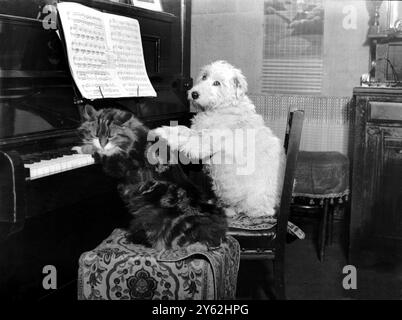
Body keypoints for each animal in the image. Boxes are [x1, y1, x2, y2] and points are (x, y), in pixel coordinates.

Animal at [75, 105, 226, 250]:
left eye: (111, 136)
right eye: (95, 134)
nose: (102, 143)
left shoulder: (120, 165)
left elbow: (104, 156)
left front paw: (84, 149)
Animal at [152, 60, 286, 218]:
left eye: (217, 83)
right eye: (204, 76)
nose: (194, 94)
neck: (223, 107)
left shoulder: (203, 143)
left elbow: (185, 139)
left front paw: (163, 135)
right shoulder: (197, 131)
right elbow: (182, 129)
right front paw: (161, 129)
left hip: (253, 203)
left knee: (249, 210)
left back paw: (229, 210)